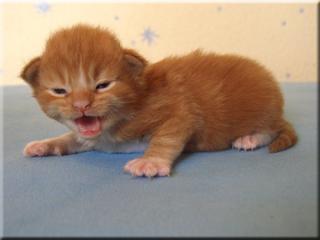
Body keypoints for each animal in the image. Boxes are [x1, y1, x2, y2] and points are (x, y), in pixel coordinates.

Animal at [21, 24, 298, 178]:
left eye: (102, 85)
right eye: (60, 90)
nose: (81, 106)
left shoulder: (180, 111)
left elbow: (166, 138)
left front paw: (150, 162)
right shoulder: (90, 137)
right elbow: (70, 138)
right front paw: (45, 145)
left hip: (265, 111)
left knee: (270, 130)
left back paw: (249, 138)